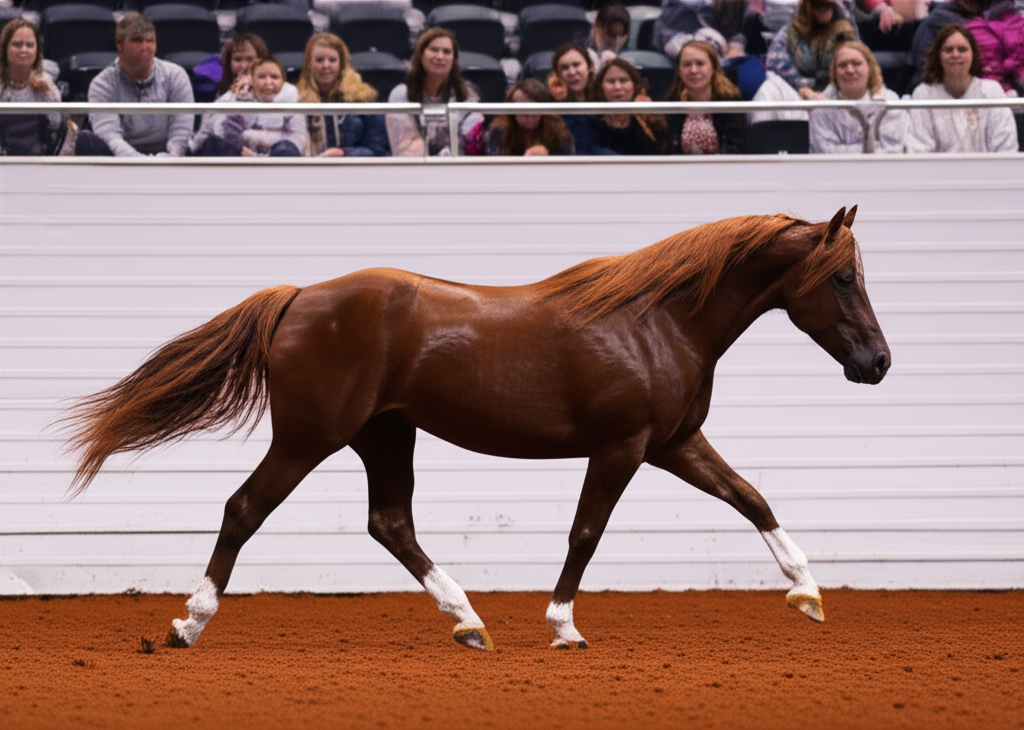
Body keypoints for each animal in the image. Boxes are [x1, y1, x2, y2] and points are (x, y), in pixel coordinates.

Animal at [62, 206, 890, 652]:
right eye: (843, 277)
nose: (878, 363)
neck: (658, 322)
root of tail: (298, 298)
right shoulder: (622, 447)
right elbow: (586, 533)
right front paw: (563, 627)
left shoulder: (674, 444)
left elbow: (751, 498)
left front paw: (807, 593)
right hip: (309, 437)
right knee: (244, 509)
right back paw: (187, 625)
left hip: (385, 436)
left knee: (390, 524)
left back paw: (468, 623)